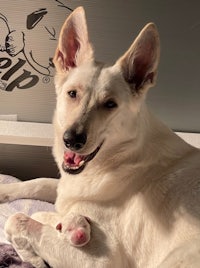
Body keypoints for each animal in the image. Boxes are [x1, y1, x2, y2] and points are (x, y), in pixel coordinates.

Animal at [0, 6, 200, 268]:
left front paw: (36, 247)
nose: (72, 140)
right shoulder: (67, 188)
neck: (120, 158)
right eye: (72, 94)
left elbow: (19, 219)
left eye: (110, 104)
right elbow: (38, 182)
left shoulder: (101, 260)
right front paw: (3, 191)